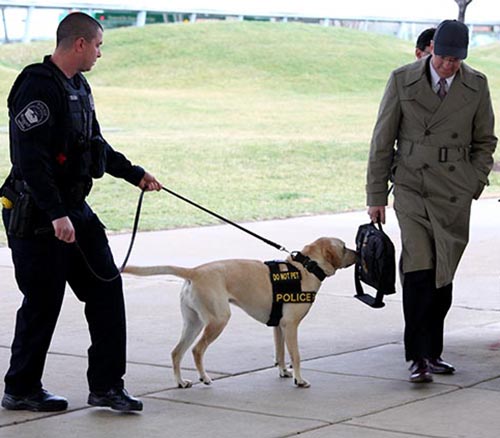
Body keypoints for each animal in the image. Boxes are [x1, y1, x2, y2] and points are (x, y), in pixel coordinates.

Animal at [124, 238, 356, 388]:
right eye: (344, 247)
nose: (358, 252)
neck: (306, 267)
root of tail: (194, 272)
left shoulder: (278, 326)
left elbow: (280, 353)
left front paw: (283, 372)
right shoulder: (291, 325)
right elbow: (296, 355)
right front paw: (298, 380)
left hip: (193, 323)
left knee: (176, 352)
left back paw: (180, 382)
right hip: (218, 320)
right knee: (197, 350)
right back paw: (204, 378)